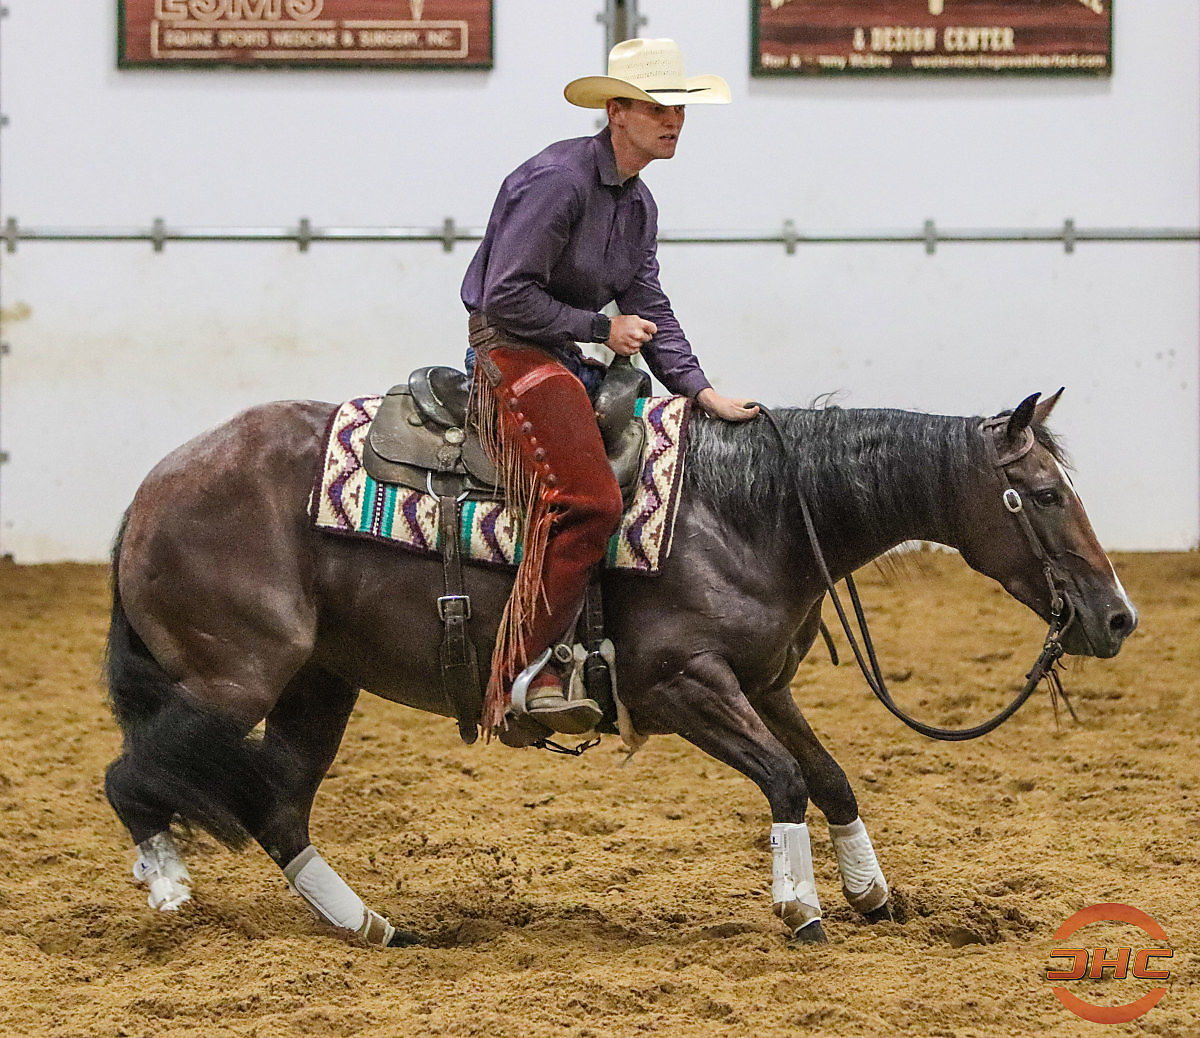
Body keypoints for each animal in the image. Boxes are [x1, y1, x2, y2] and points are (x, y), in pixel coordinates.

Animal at [103, 387, 1136, 945]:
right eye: (1045, 493)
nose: (1118, 616)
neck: (747, 509)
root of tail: (152, 488)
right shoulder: (682, 686)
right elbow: (784, 779)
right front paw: (801, 906)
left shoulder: (764, 684)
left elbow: (831, 776)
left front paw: (870, 892)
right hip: (239, 675)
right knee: (132, 774)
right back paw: (170, 887)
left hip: (320, 683)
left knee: (277, 807)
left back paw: (372, 927)